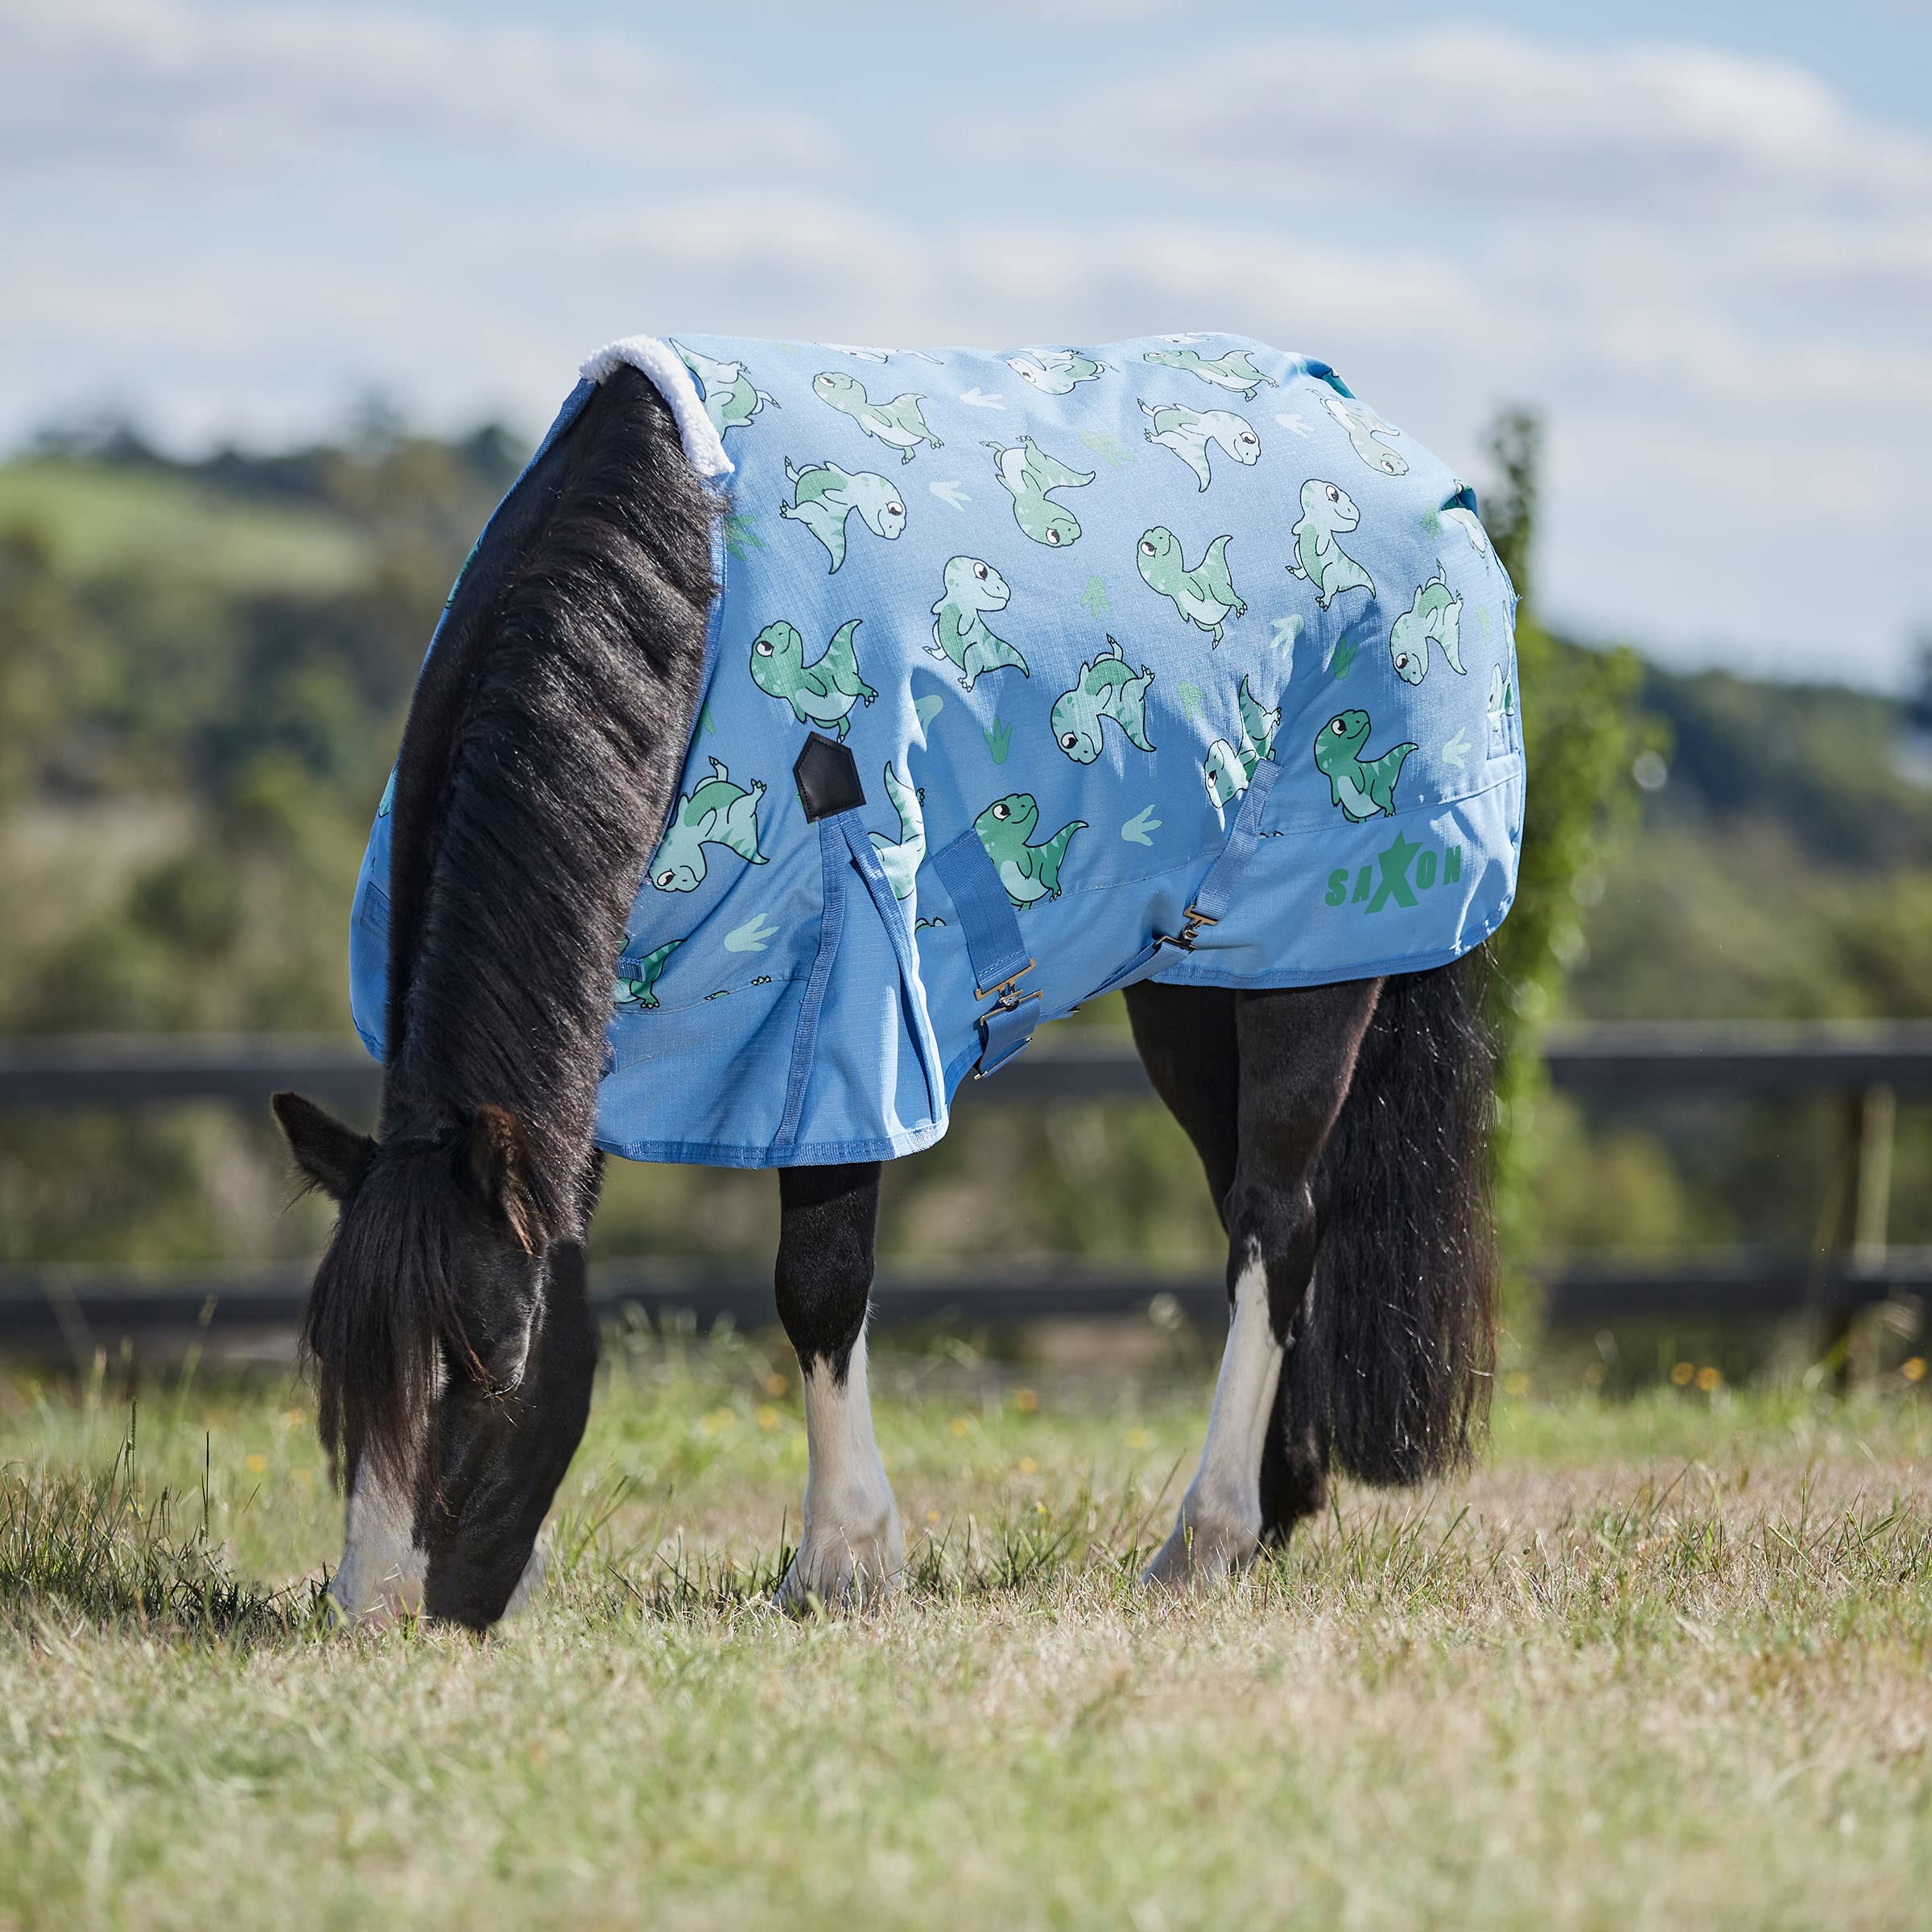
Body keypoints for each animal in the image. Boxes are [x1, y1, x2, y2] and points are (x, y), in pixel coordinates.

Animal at [272, 339, 1507, 1627]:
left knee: (1278, 1218)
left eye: (492, 1366)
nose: (374, 1617)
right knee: (1259, 1215)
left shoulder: (842, 1008)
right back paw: (1277, 1506)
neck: (689, 594)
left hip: (1318, 966)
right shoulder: (612, 1034)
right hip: (1195, 983)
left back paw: (1205, 1538)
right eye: (341, 1381)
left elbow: (817, 1284)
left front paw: (841, 1564)